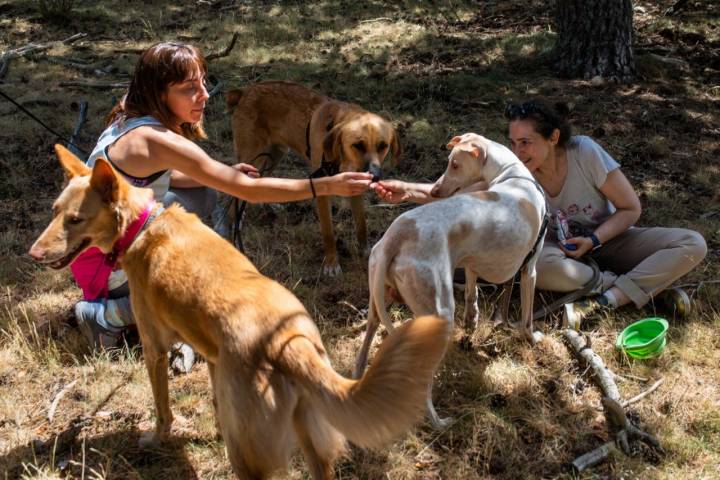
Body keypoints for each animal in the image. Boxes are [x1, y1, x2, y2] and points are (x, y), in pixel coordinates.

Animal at [29, 145, 450, 480]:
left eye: (75, 220)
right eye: (54, 211)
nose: (33, 254)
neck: (144, 225)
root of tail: (287, 342)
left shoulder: (154, 349)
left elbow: (163, 410)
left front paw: (155, 438)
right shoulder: (214, 360)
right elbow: (217, 405)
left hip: (251, 458)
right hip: (310, 435)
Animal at [228, 81, 402, 276]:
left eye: (383, 146)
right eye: (358, 145)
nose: (375, 176)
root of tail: (245, 91)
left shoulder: (356, 188)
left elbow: (361, 225)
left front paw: (365, 252)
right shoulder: (321, 192)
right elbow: (328, 232)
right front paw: (332, 263)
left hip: (274, 155)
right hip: (252, 157)